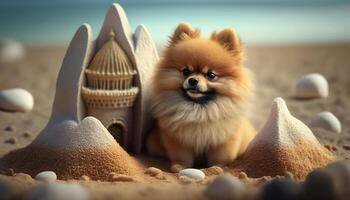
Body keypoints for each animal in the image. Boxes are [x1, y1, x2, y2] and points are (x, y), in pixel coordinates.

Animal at [146, 22, 256, 171]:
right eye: (186, 71)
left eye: (211, 75)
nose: (193, 80)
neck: (199, 109)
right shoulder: (178, 139)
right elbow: (182, 156)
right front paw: (179, 167)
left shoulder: (223, 139)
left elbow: (220, 157)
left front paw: (217, 167)